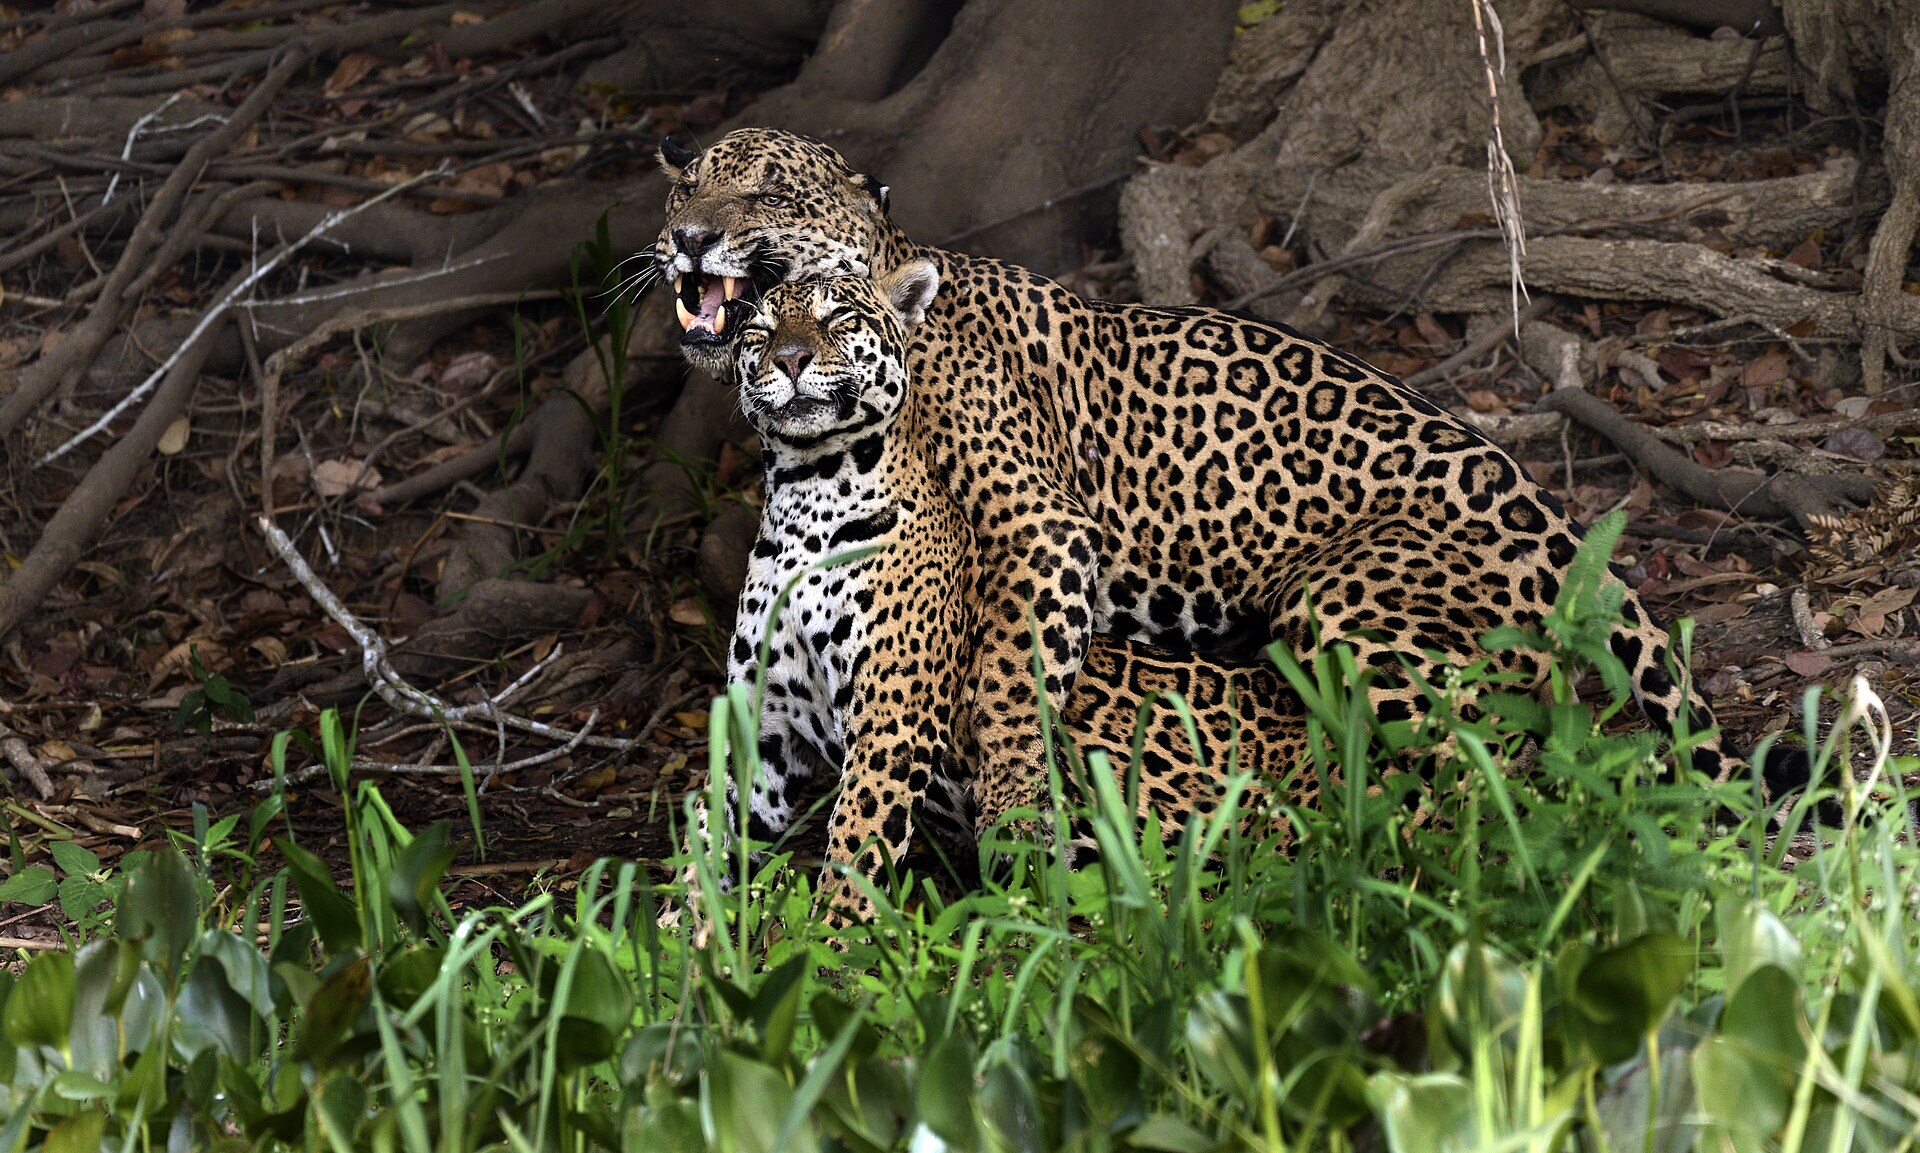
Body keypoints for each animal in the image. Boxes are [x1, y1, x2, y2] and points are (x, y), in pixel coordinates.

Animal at [722, 264, 1306, 912]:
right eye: (758, 331)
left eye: (840, 317)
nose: (790, 358)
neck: (808, 496)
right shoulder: (760, 727)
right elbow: (712, 833)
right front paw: (693, 923)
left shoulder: (891, 723)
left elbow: (856, 844)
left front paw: (834, 927)